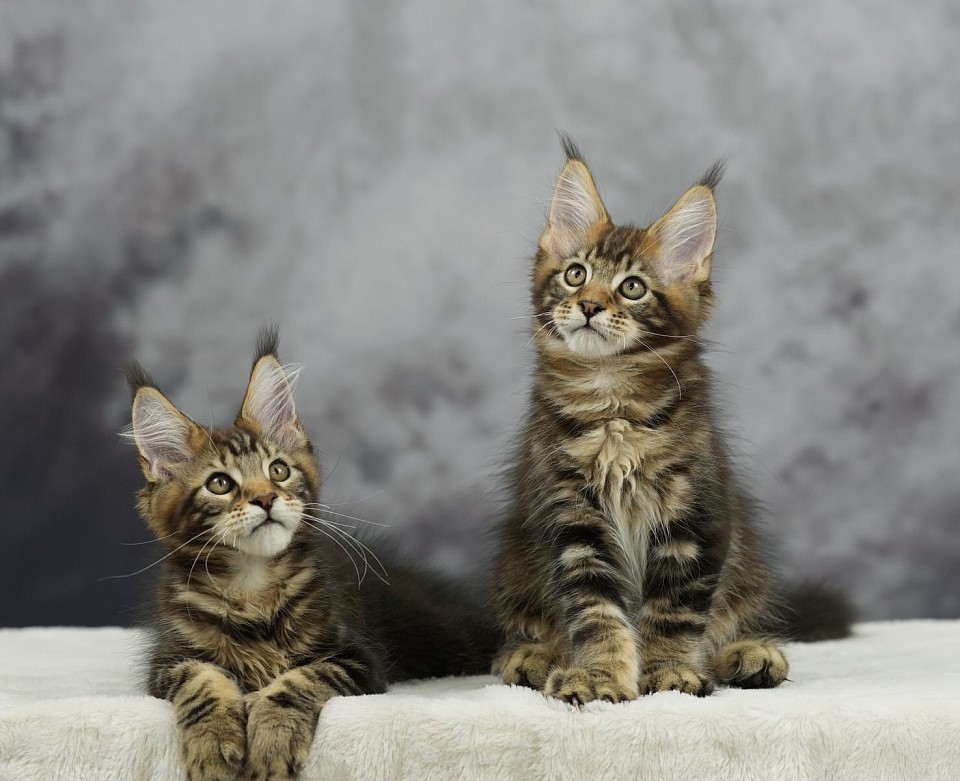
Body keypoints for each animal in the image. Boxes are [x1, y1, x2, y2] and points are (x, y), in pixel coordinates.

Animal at [125, 330, 496, 780]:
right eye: (220, 484)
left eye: (278, 471)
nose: (266, 498)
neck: (253, 584)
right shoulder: (170, 660)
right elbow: (204, 681)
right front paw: (213, 745)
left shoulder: (359, 659)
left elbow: (298, 680)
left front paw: (271, 740)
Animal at [492, 140, 852, 708]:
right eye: (575, 274)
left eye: (633, 288)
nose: (589, 305)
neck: (613, 402)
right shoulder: (572, 521)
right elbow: (595, 612)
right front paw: (598, 676)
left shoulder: (695, 515)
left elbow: (675, 612)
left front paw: (671, 674)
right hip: (516, 565)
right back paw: (533, 656)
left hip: (747, 569)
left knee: (733, 620)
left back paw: (751, 654)